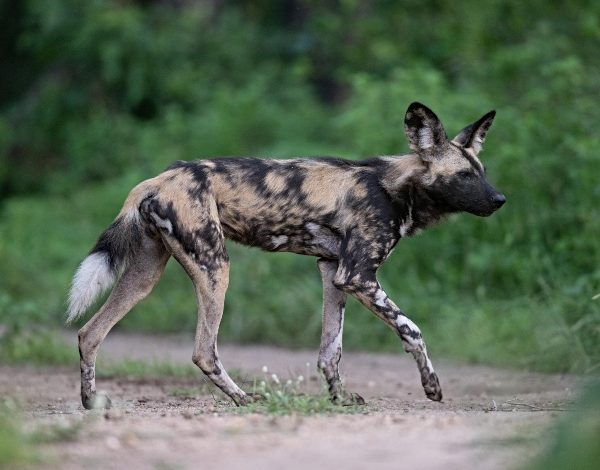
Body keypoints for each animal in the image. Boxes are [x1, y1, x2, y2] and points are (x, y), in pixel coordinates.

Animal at [67, 102, 506, 408]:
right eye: (464, 175)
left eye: (482, 171)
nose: (500, 199)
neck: (395, 187)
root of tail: (157, 179)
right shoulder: (359, 276)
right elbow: (411, 330)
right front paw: (432, 386)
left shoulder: (334, 272)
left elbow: (331, 352)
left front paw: (340, 399)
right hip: (215, 267)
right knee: (203, 350)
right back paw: (243, 399)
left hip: (145, 275)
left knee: (90, 333)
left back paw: (91, 403)